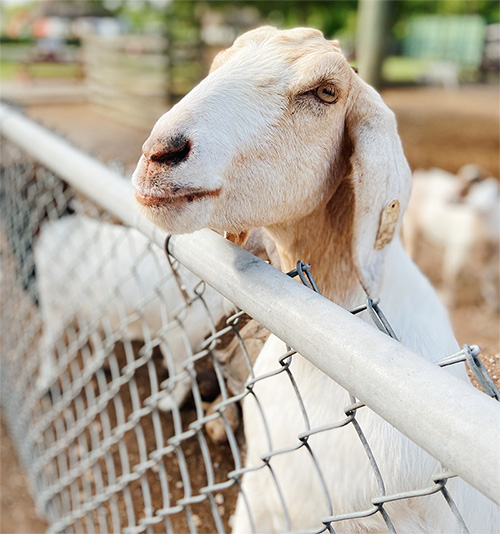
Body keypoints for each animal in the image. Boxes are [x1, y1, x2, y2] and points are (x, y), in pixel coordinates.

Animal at [34, 214, 229, 410]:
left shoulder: (56, 307)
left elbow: (46, 345)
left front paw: (44, 382)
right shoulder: (91, 309)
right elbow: (95, 336)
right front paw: (96, 362)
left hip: (176, 337)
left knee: (186, 375)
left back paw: (169, 402)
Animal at [404, 168, 500, 310]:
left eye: (471, 186)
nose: (449, 198)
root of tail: (421, 174)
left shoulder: (492, 254)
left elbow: (487, 275)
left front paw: (492, 302)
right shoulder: (457, 250)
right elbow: (452, 274)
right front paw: (447, 301)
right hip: (410, 227)